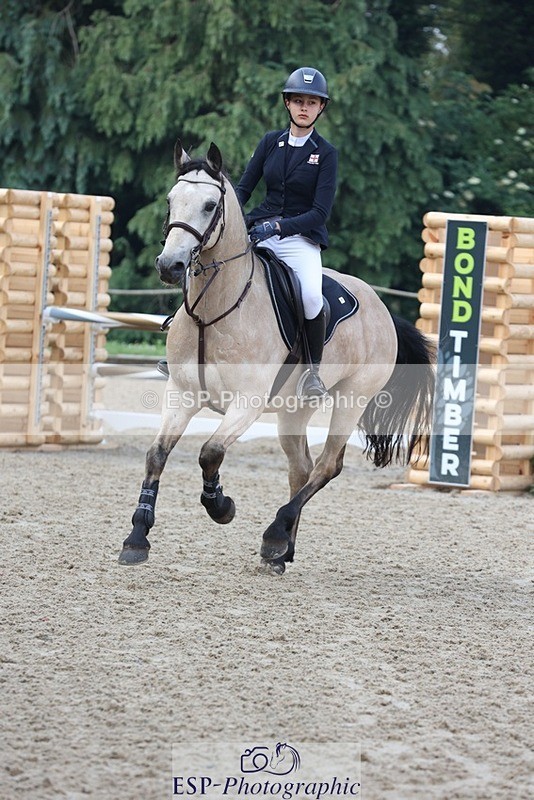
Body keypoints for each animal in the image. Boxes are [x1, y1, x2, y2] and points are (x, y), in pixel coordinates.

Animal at [118, 141, 434, 574]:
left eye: (210, 205)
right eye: (171, 200)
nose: (170, 266)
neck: (213, 312)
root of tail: (381, 307)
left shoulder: (247, 402)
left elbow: (210, 452)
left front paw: (221, 506)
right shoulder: (181, 393)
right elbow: (156, 455)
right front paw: (137, 536)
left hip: (352, 399)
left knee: (327, 466)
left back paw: (274, 535)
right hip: (293, 409)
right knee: (301, 468)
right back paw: (283, 550)